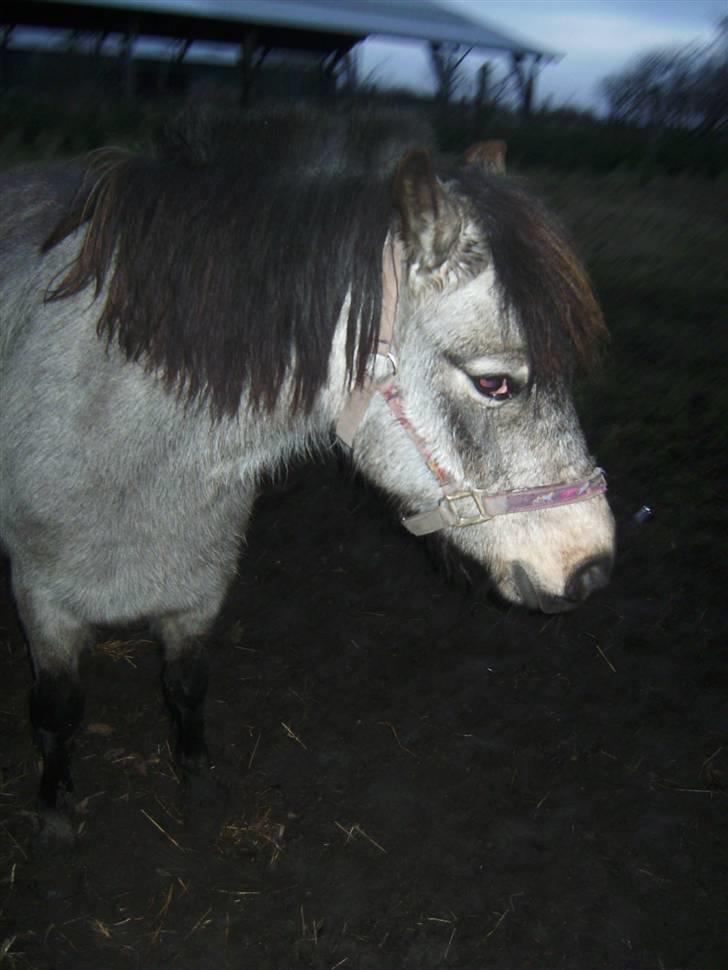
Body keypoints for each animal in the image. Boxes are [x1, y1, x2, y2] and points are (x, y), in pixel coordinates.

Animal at [0, 109, 615, 836]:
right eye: (495, 383)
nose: (593, 567)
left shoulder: (198, 594)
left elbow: (186, 687)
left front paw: (198, 781)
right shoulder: (43, 604)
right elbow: (57, 708)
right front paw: (56, 811)